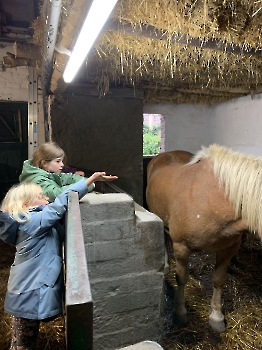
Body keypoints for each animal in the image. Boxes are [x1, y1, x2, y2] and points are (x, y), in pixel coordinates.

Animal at [145, 144, 262, 332]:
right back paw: (166, 265)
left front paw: (216, 316)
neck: (214, 199)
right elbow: (182, 278)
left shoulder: (228, 249)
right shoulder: (181, 248)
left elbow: (219, 279)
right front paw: (179, 313)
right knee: (164, 238)